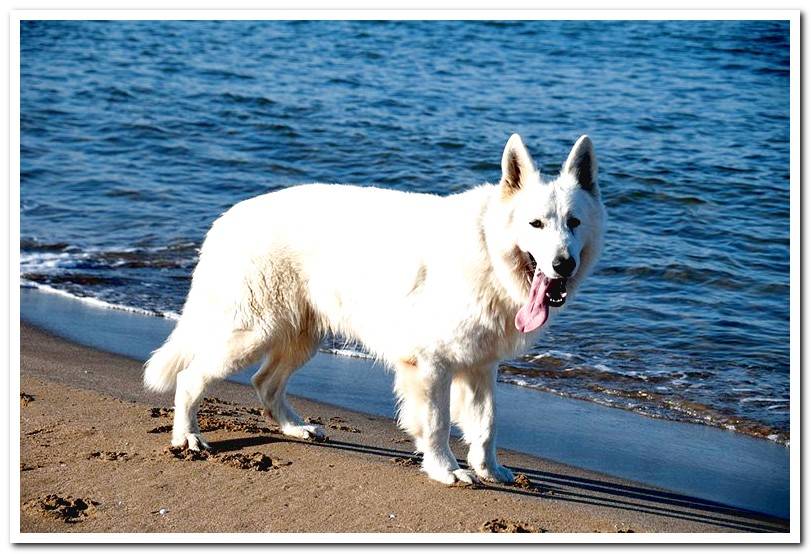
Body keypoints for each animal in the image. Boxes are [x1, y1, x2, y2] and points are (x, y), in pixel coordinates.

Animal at [144, 134, 604, 484]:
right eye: (535, 224)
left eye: (574, 223)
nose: (563, 264)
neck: (489, 252)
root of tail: (228, 218)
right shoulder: (431, 365)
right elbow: (436, 422)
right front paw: (445, 470)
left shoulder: (480, 366)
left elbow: (487, 423)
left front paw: (489, 469)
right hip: (251, 332)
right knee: (190, 377)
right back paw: (187, 438)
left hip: (301, 336)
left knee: (265, 382)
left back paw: (295, 428)